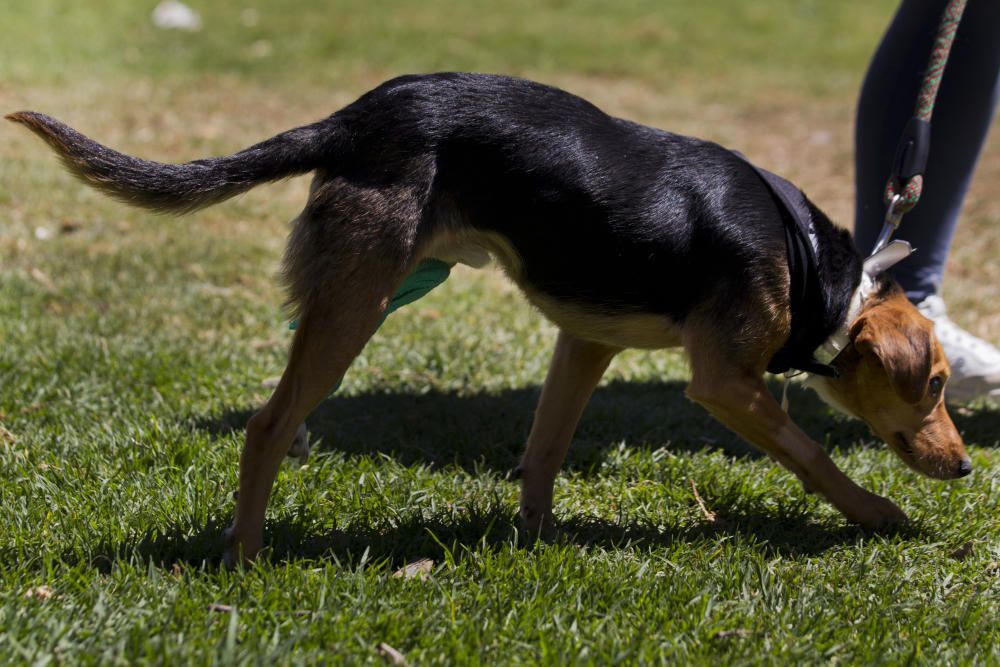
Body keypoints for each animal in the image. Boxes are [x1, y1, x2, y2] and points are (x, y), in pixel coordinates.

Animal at [7, 73, 968, 564]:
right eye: (935, 384)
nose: (963, 466)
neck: (817, 271)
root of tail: (353, 117)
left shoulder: (587, 339)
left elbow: (544, 446)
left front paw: (538, 541)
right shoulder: (726, 381)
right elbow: (811, 453)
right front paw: (877, 512)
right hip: (357, 297)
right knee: (269, 424)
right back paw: (245, 553)